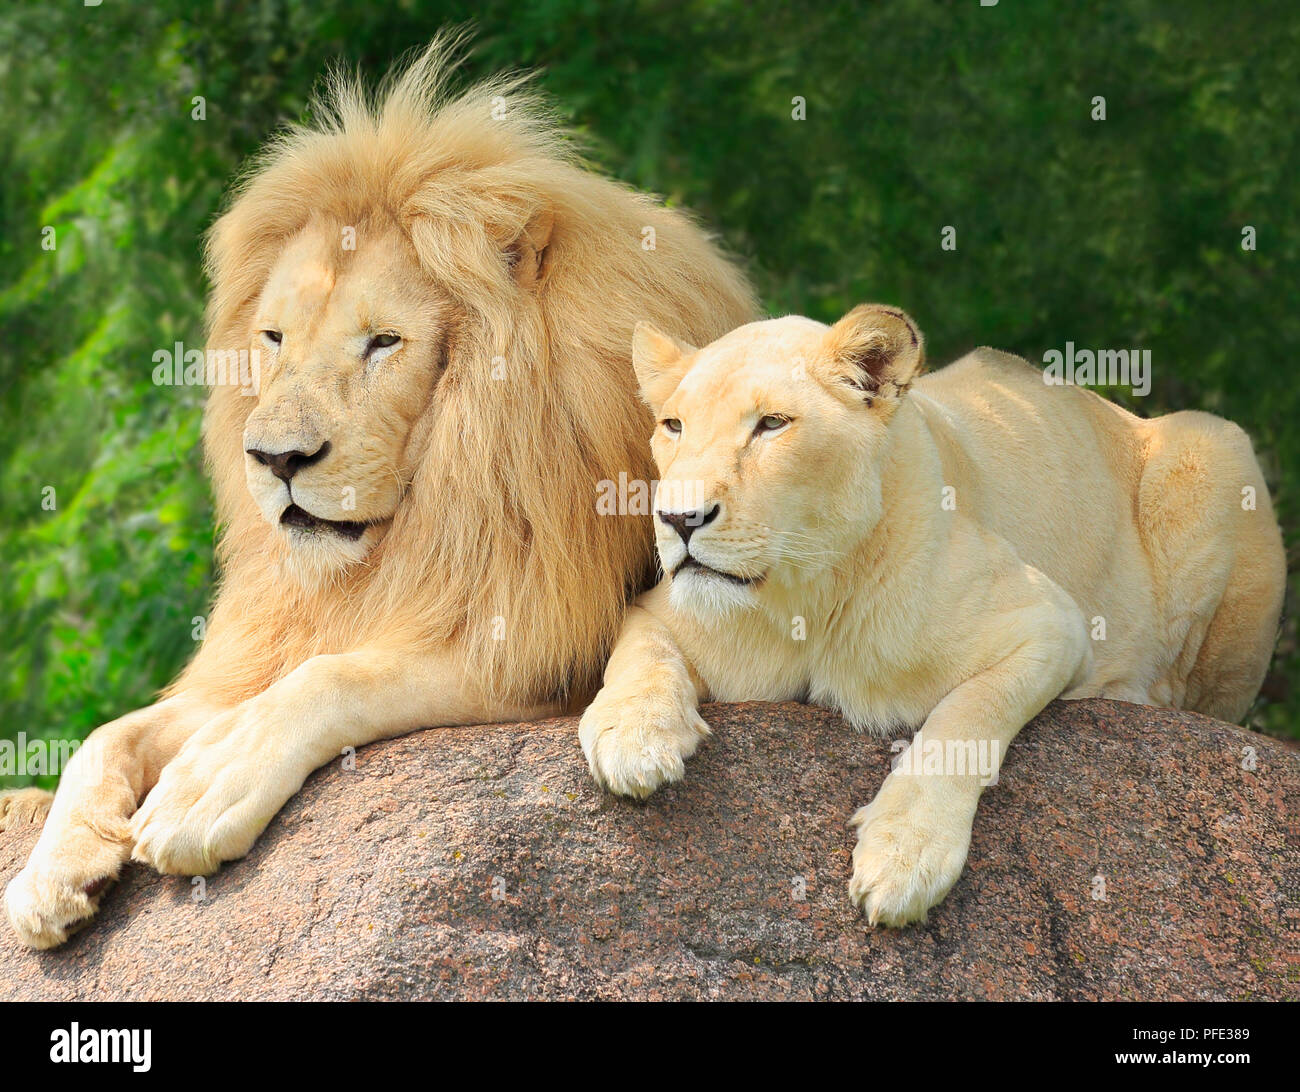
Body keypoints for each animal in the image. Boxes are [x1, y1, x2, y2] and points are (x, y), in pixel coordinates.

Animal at [2, 40, 754, 946]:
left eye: (385, 342)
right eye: (273, 337)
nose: (276, 458)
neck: (423, 517)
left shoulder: (537, 642)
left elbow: (336, 679)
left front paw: (205, 784)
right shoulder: (288, 633)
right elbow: (110, 732)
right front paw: (50, 871)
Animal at [582, 302, 1289, 925]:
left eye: (773, 424)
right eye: (673, 426)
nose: (678, 519)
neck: (808, 597)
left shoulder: (1049, 620)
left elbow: (964, 717)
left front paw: (905, 854)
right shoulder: (658, 607)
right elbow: (637, 653)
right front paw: (632, 739)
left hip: (1213, 448)